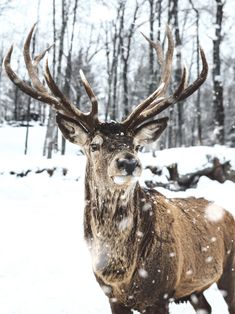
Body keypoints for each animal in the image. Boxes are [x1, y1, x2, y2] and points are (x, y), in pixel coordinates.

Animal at [3, 24, 235, 314]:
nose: (129, 162)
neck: (120, 272)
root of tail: (227, 212)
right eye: (94, 145)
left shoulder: (161, 294)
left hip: (229, 271)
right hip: (195, 290)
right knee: (206, 306)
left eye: (137, 145)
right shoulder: (111, 296)